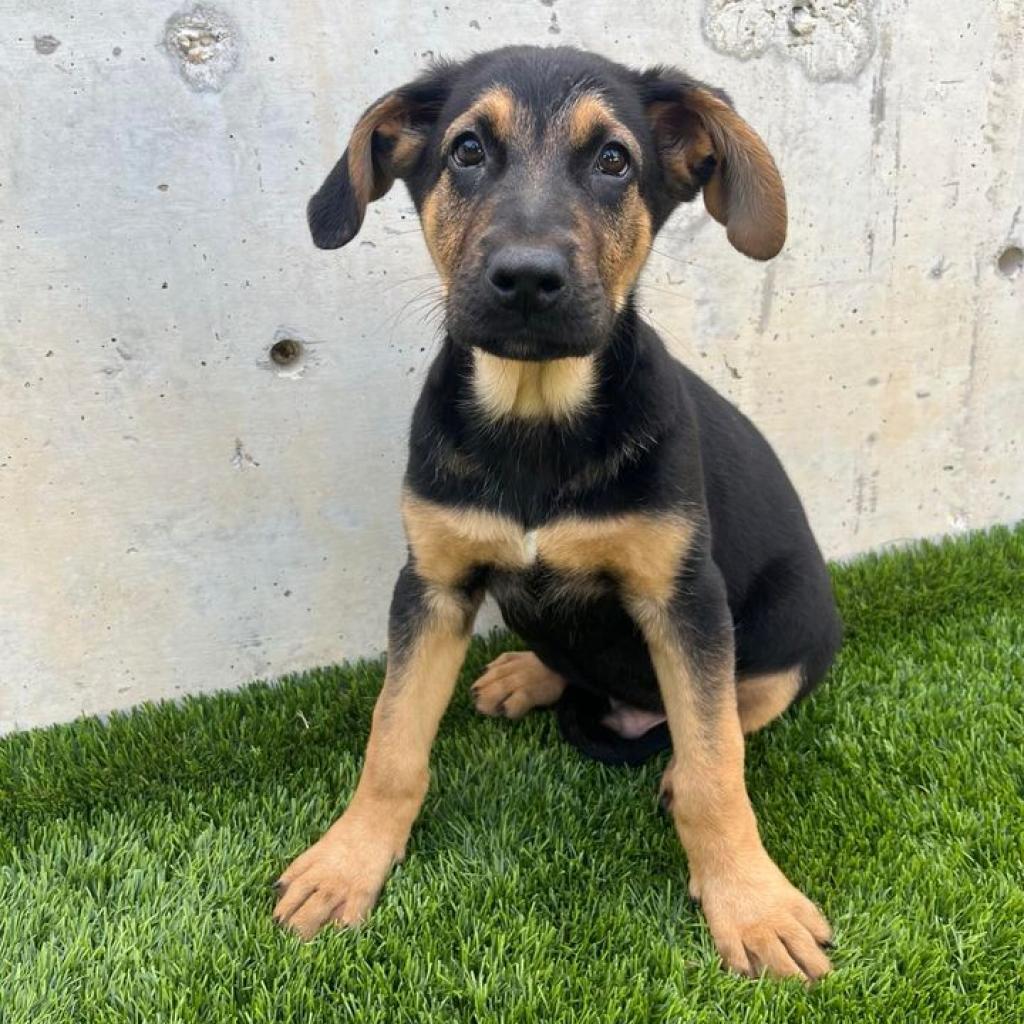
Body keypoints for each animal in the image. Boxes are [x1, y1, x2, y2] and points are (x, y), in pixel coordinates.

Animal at [272, 48, 839, 983]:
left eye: (614, 160)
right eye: (467, 150)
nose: (529, 279)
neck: (535, 417)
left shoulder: (685, 598)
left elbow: (717, 766)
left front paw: (751, 904)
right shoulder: (431, 584)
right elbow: (392, 742)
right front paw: (347, 863)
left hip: (802, 615)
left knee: (744, 707)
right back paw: (526, 674)